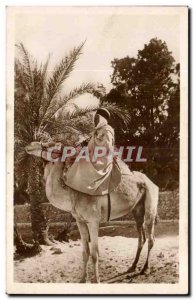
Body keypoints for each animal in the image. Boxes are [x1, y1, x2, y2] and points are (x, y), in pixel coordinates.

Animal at [25, 142, 158, 282]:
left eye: (49, 145)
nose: (30, 145)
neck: (74, 195)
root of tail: (151, 182)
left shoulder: (93, 221)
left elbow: (95, 253)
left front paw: (96, 280)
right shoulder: (80, 221)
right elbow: (85, 252)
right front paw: (83, 279)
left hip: (151, 204)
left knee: (151, 238)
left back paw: (145, 269)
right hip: (137, 209)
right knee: (141, 237)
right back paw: (132, 267)